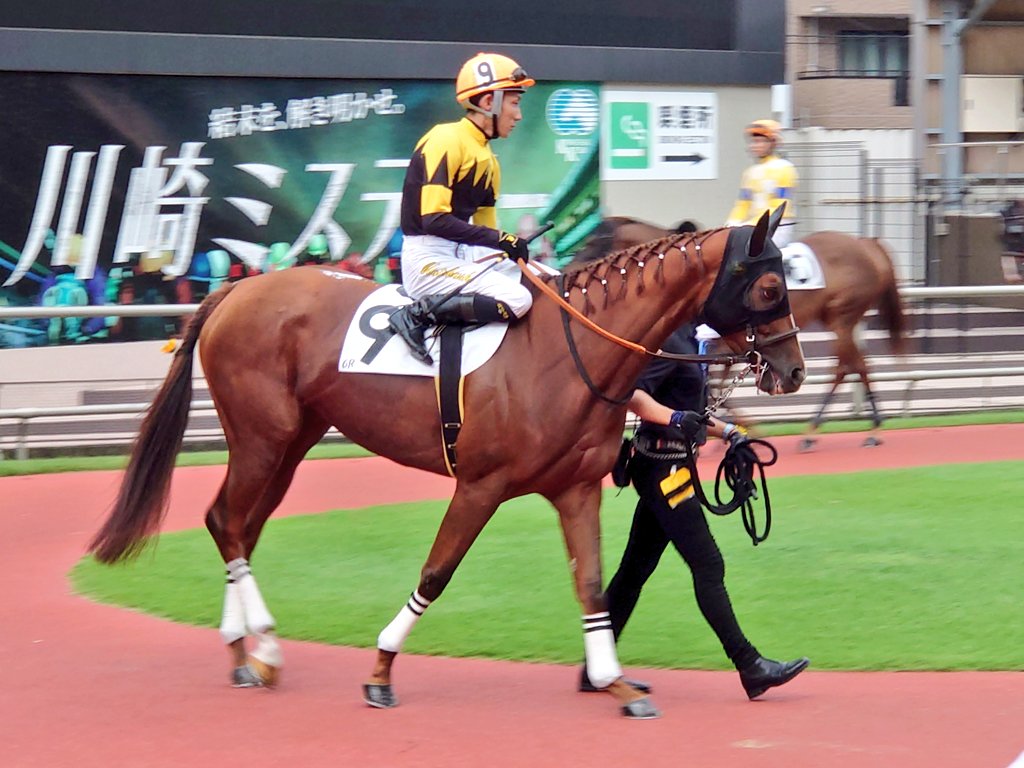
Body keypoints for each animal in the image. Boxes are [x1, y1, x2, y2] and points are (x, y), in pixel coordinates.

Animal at [88, 208, 802, 720]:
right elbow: (436, 572)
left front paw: (615, 682)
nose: (793, 371)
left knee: (235, 524)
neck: (570, 353)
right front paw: (380, 670)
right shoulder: (481, 486)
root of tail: (237, 292)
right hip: (263, 437)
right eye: (771, 285)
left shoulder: (575, 489)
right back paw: (261, 641)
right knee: (228, 521)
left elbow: (593, 585)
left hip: (289, 443)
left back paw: (245, 653)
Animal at [577, 217, 905, 448]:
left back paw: (841, 429)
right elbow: (717, 389)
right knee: (854, 365)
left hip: (843, 317)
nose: (571, 267)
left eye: (593, 242)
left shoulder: (721, 346)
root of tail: (866, 244)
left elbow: (717, 389)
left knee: (849, 366)